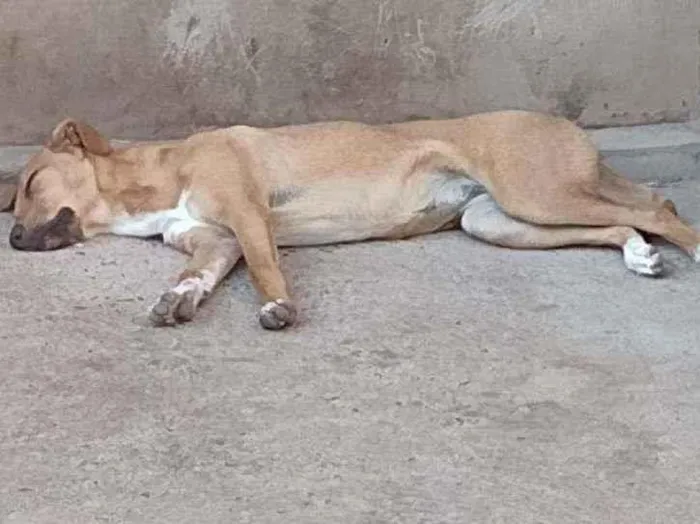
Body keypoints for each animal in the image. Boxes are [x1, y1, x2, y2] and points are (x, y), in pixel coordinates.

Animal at [1, 110, 700, 330]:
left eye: (31, 183)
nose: (10, 239)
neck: (150, 182)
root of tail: (563, 123)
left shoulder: (248, 217)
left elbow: (265, 267)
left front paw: (278, 306)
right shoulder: (213, 241)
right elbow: (198, 274)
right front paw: (180, 295)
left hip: (538, 192)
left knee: (659, 207)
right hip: (497, 220)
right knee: (621, 223)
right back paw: (636, 253)